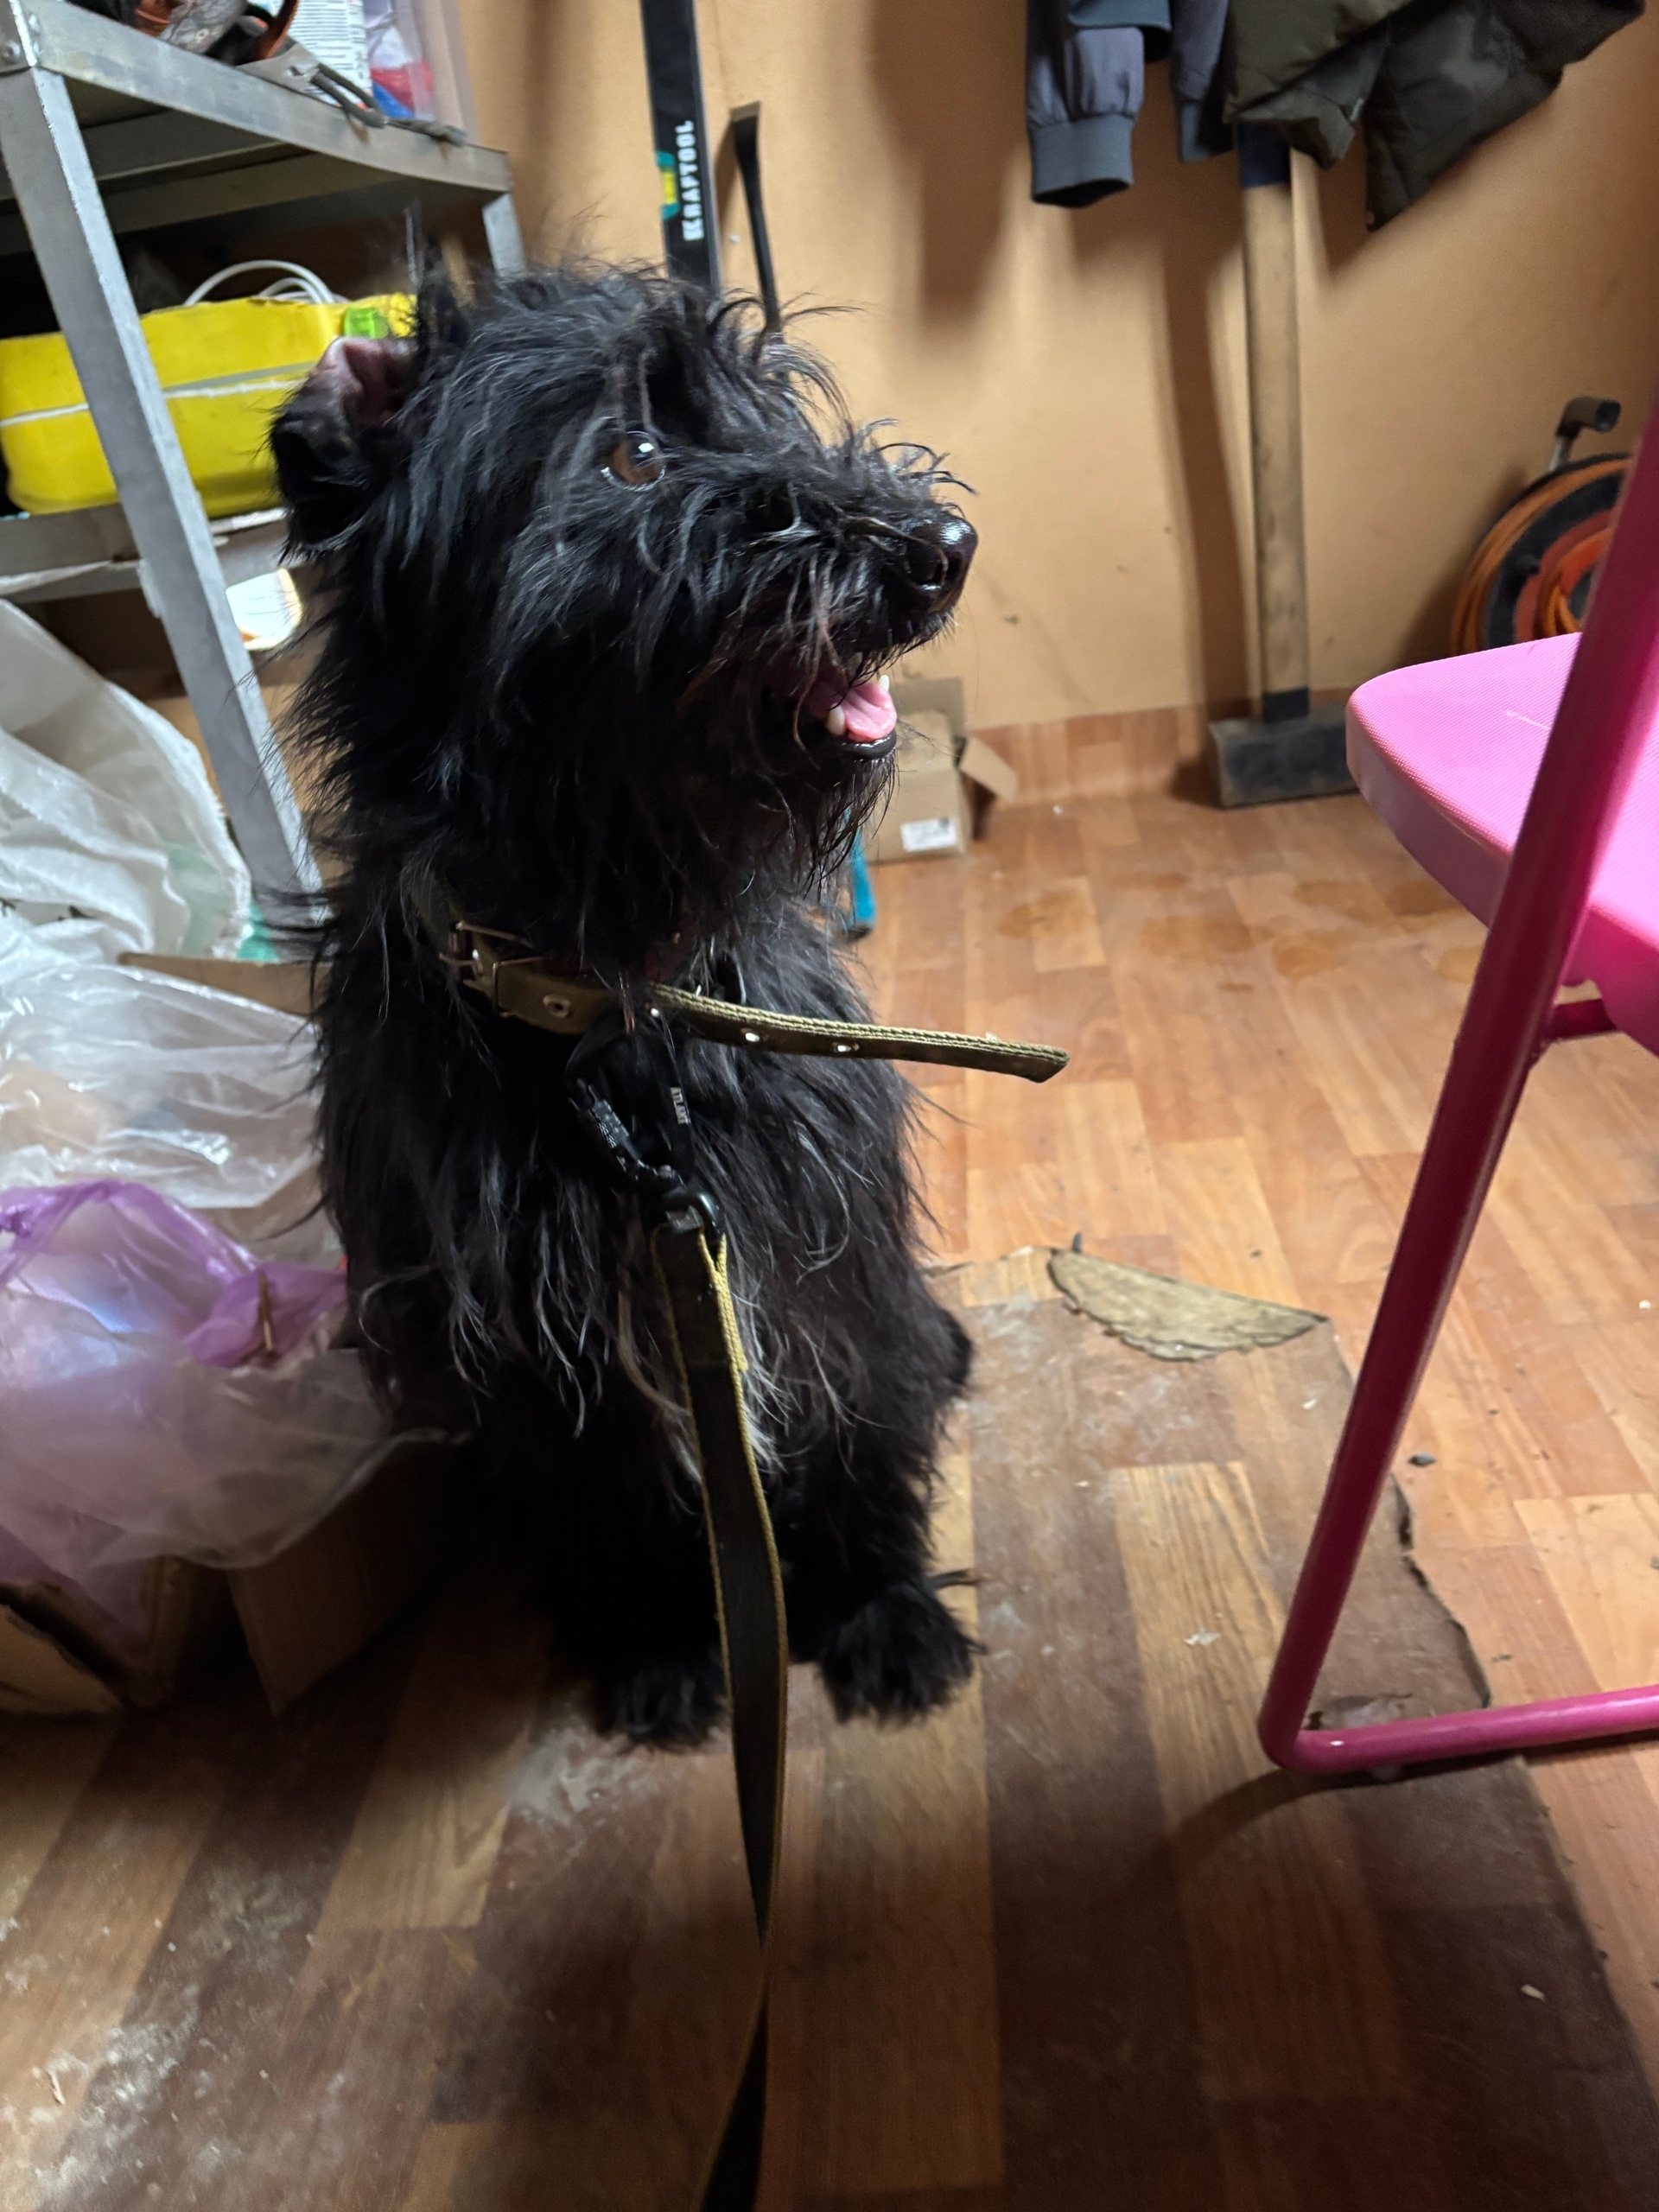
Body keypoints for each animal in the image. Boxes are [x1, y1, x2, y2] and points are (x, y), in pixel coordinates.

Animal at [273, 264, 981, 1744]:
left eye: (764, 416)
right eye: (633, 454)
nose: (943, 544)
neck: (610, 993)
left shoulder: (819, 1252)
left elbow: (858, 1427)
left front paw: (880, 1606)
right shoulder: (544, 1351)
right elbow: (610, 1506)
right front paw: (660, 1646)